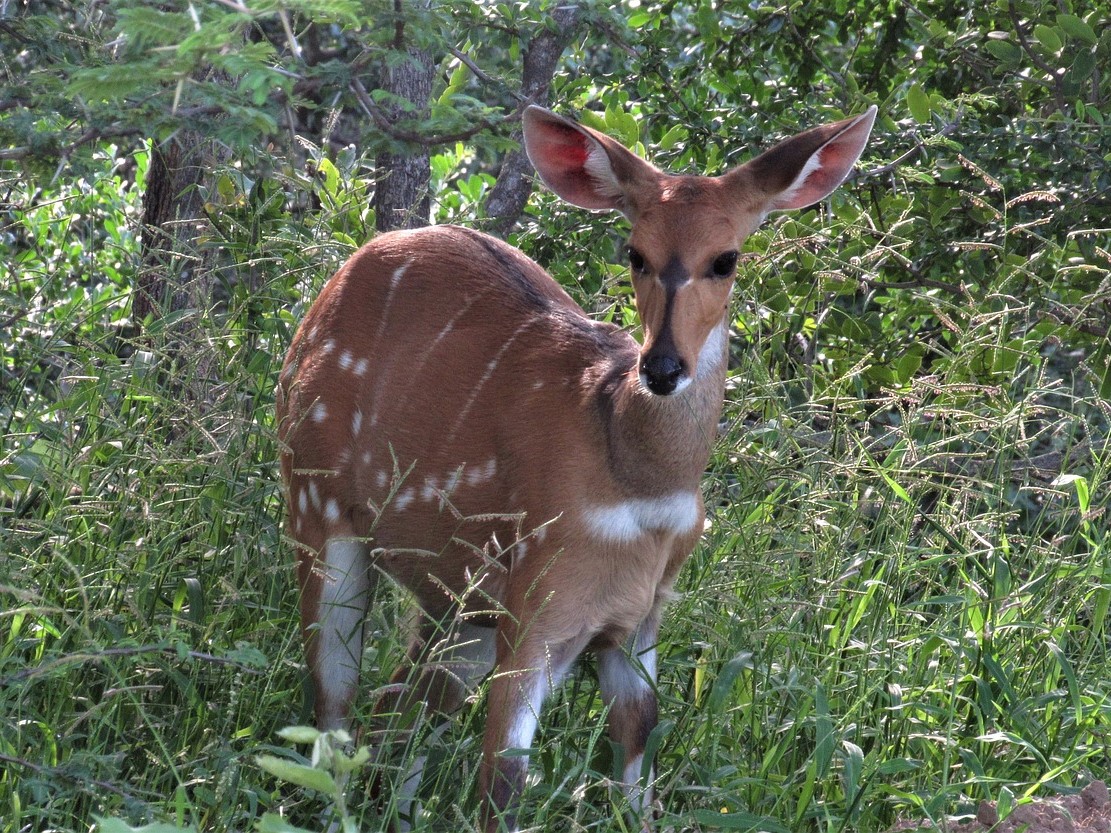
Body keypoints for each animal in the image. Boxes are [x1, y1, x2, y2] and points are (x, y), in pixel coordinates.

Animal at [275, 106, 875, 833]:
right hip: (319, 506)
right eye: (635, 253)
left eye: (725, 259)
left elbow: (639, 740)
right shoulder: (542, 599)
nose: (662, 366)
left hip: (460, 600)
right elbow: (503, 780)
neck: (636, 479)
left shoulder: (640, 613)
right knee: (334, 703)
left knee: (399, 703)